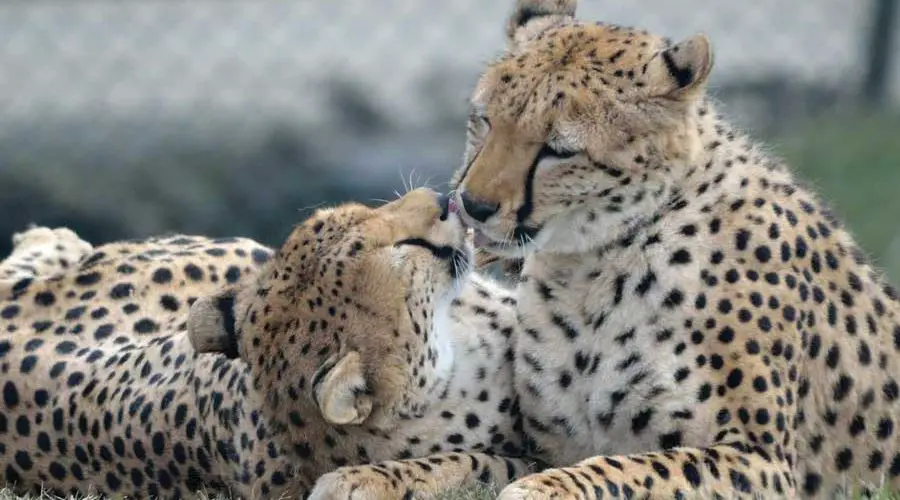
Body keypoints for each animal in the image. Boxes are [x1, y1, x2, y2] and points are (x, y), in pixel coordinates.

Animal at [318, 1, 900, 498]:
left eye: (558, 150)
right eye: (484, 119)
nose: (472, 204)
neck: (591, 267)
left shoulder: (762, 461)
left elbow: (636, 468)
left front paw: (545, 490)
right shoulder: (544, 445)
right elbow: (475, 460)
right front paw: (372, 477)